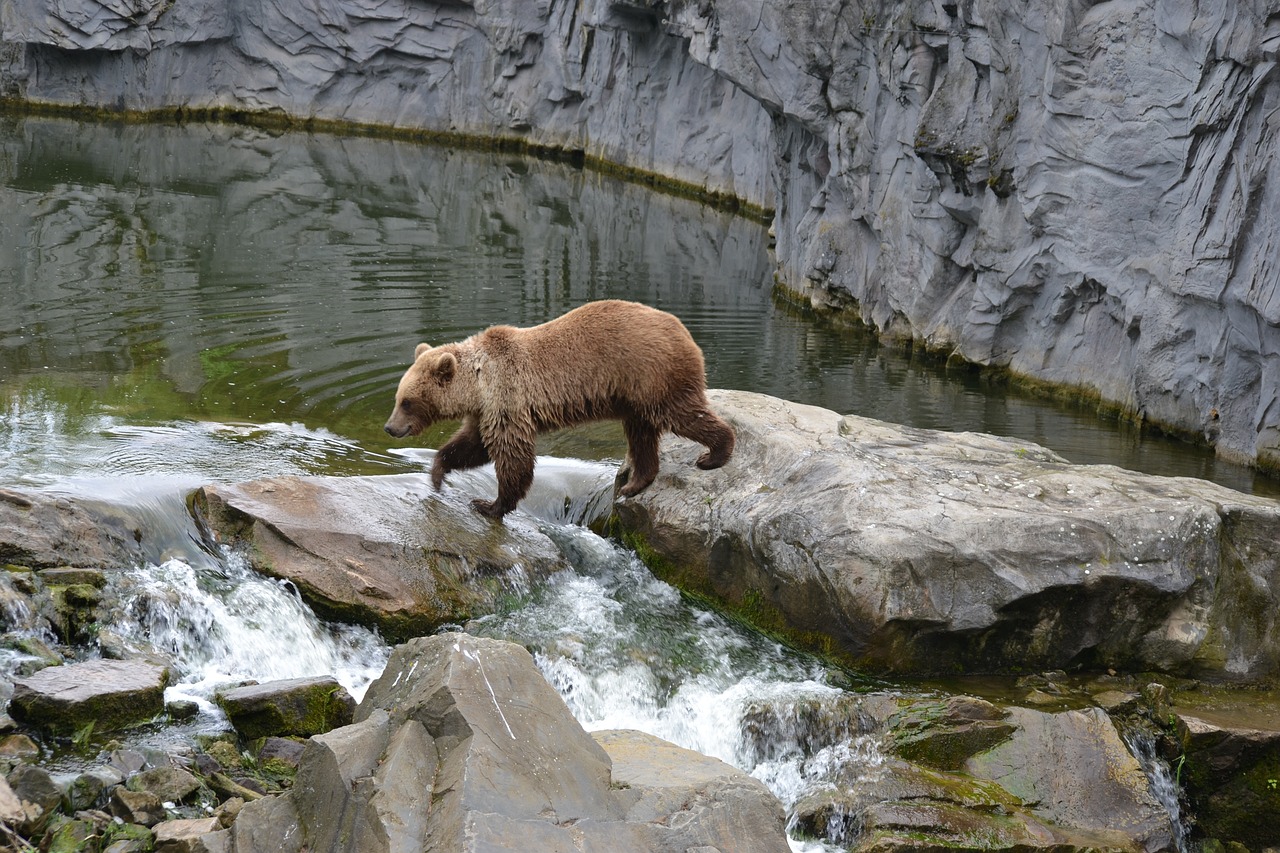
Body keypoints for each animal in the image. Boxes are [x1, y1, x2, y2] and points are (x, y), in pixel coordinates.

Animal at [384, 298, 737, 517]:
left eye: (407, 402)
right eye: (397, 398)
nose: (390, 427)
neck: (479, 383)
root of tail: (684, 331)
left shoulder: (508, 399)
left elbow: (512, 455)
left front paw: (490, 504)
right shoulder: (486, 411)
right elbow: (473, 445)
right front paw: (437, 473)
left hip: (651, 374)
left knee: (681, 414)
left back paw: (714, 454)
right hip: (633, 395)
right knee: (642, 433)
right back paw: (635, 483)